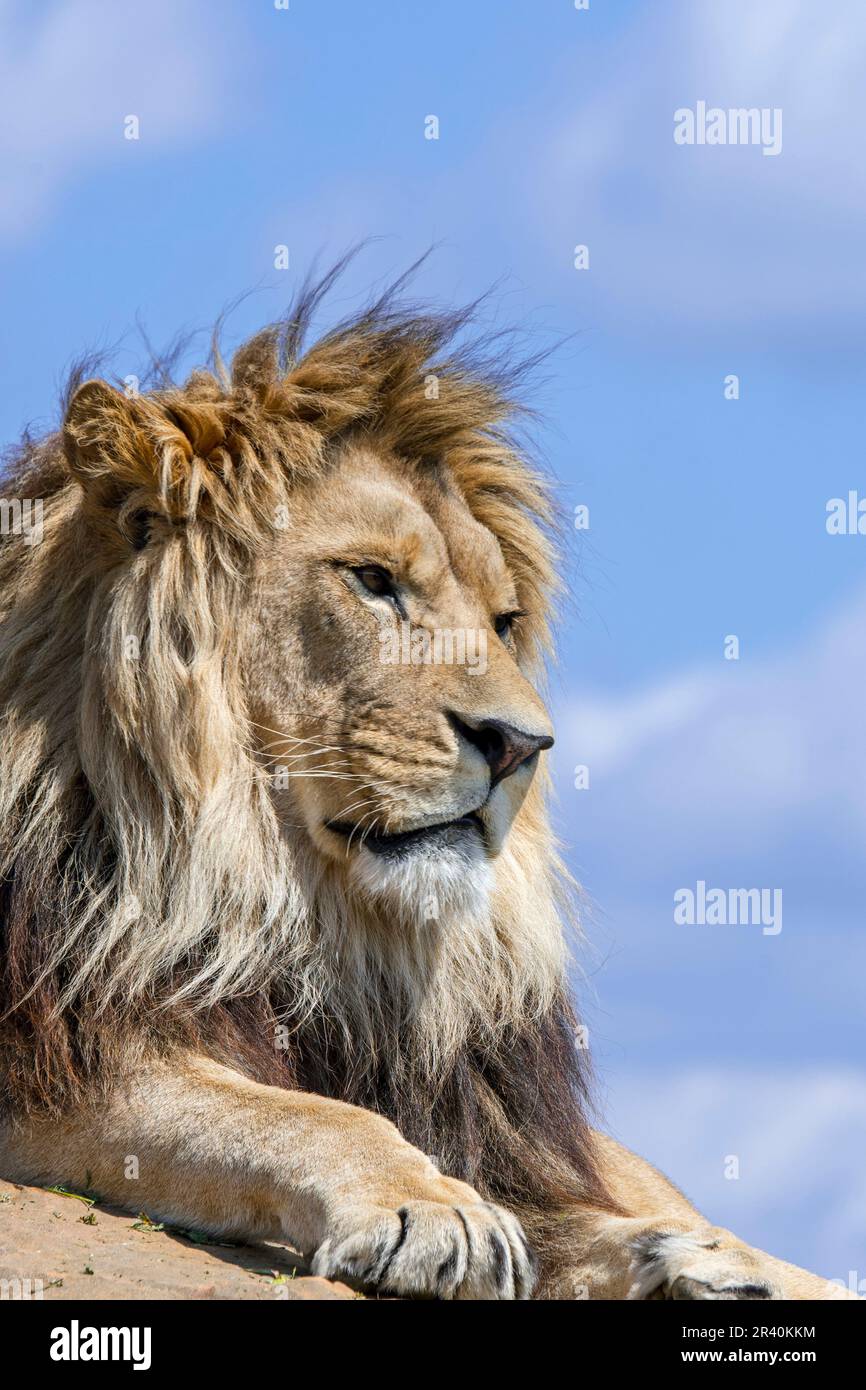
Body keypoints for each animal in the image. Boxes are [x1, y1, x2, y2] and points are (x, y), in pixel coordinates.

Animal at [0, 265, 848, 1300]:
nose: (521, 745)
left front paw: (693, 1259)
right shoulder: (54, 1057)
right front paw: (432, 1209)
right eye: (371, 579)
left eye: (504, 620)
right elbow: (294, 1111)